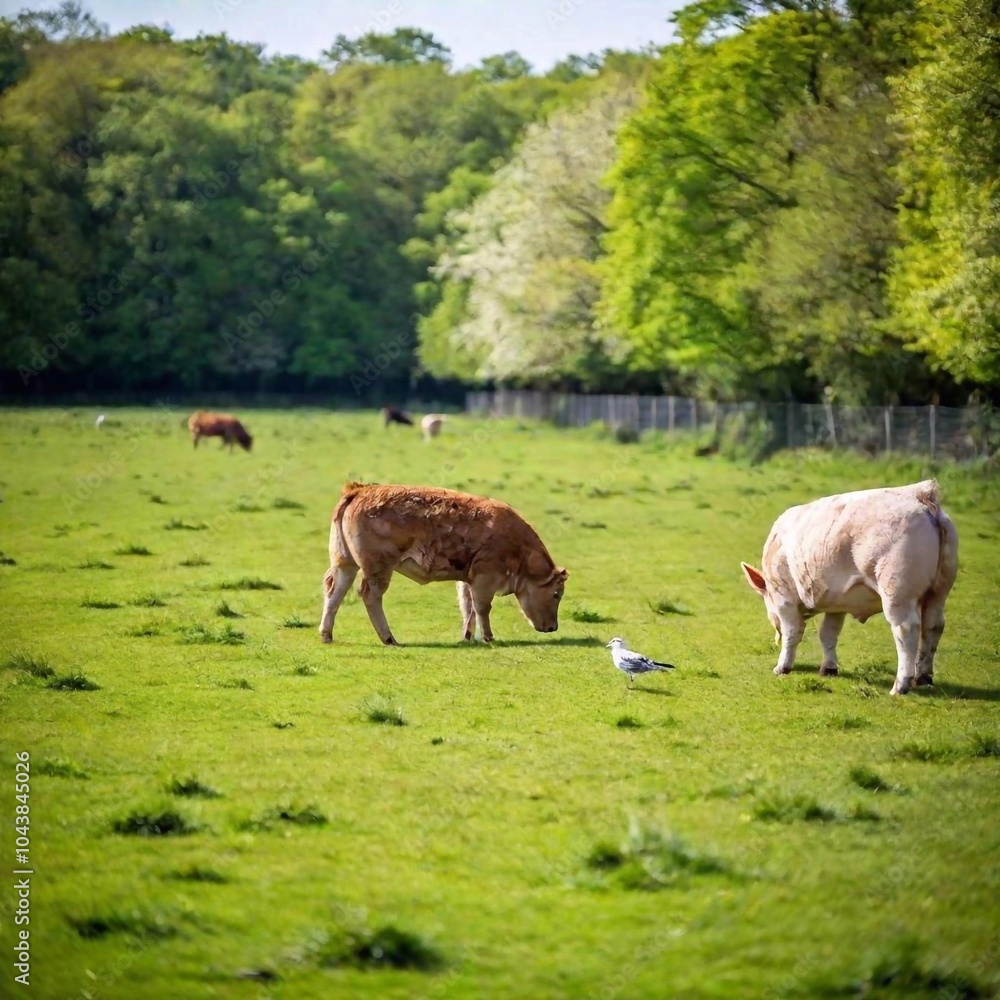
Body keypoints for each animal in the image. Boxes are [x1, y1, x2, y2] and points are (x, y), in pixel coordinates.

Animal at [319, 482, 568, 646]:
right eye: (557, 594)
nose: (553, 627)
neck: (518, 547)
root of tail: (358, 490)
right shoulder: (485, 578)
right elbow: (482, 608)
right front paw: (488, 637)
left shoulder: (468, 579)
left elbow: (468, 607)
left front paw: (468, 636)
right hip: (378, 569)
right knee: (369, 595)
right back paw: (389, 638)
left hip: (345, 564)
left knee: (335, 592)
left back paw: (327, 634)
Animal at [741, 480, 958, 695]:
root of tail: (921, 494)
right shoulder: (837, 603)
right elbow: (828, 633)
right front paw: (829, 668)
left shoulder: (784, 597)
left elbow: (792, 632)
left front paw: (782, 667)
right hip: (940, 590)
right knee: (933, 626)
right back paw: (923, 677)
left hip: (898, 592)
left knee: (907, 630)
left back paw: (900, 685)